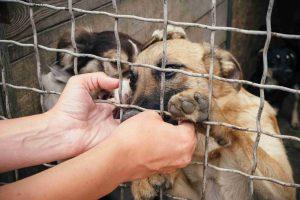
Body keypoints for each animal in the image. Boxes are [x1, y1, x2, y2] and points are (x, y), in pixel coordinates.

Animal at [123, 26, 294, 200]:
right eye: (131, 79)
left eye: (169, 69)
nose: (127, 118)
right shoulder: (196, 194)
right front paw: (146, 176)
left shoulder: (285, 186)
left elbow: (240, 135)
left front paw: (212, 115)